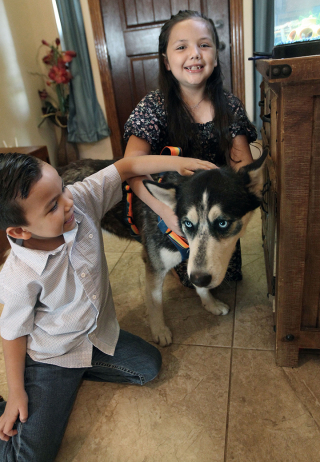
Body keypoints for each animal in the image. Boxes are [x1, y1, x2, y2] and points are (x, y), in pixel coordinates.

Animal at [58, 152, 268, 346]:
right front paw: (159, 330)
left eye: (223, 223)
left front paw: (210, 303)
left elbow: (198, 283)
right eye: (188, 223)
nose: (199, 279)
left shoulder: (194, 261)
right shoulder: (155, 266)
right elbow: (154, 302)